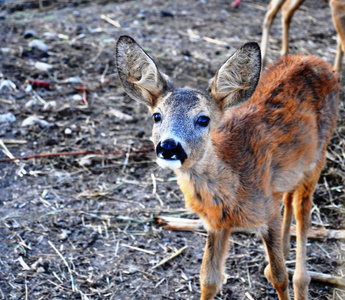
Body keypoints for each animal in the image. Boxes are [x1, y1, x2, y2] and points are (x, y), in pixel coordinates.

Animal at [115, 35, 338, 300]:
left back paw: (300, 278)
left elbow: (279, 277)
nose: (169, 146)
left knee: (303, 213)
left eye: (203, 119)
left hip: (318, 157)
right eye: (157, 116)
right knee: (289, 197)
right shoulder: (216, 224)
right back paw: (285, 249)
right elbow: (209, 279)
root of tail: (318, 61)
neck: (234, 182)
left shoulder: (267, 214)